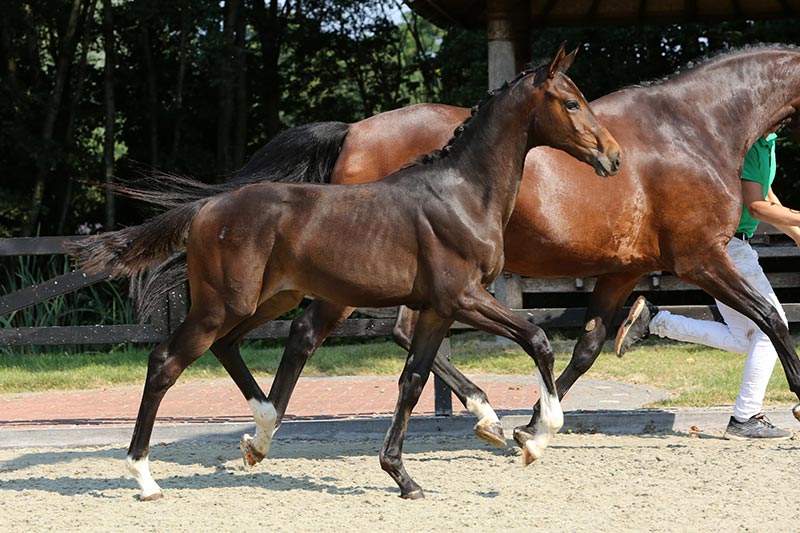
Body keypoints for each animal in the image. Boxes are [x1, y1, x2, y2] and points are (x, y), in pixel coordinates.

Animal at [67, 46, 622, 500]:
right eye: (571, 103)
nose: (613, 157)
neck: (463, 193)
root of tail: (207, 208)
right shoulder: (463, 297)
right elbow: (537, 339)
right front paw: (535, 437)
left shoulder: (438, 309)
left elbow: (412, 381)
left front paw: (404, 476)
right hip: (222, 304)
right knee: (165, 362)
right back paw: (145, 478)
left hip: (271, 299)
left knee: (236, 345)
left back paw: (261, 430)